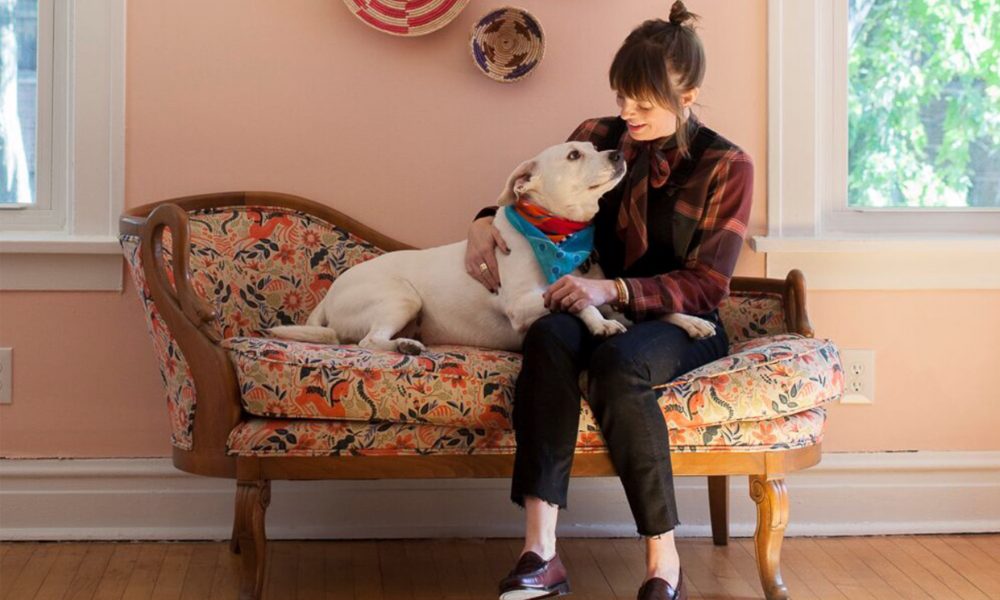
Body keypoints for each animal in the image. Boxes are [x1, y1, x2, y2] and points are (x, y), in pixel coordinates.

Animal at [268, 141, 716, 353]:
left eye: (593, 147)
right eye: (574, 154)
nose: (617, 152)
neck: (558, 235)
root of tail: (329, 295)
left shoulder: (603, 290)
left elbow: (634, 303)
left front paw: (688, 320)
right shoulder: (523, 304)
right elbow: (577, 301)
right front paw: (601, 324)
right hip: (400, 299)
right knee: (367, 342)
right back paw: (403, 346)